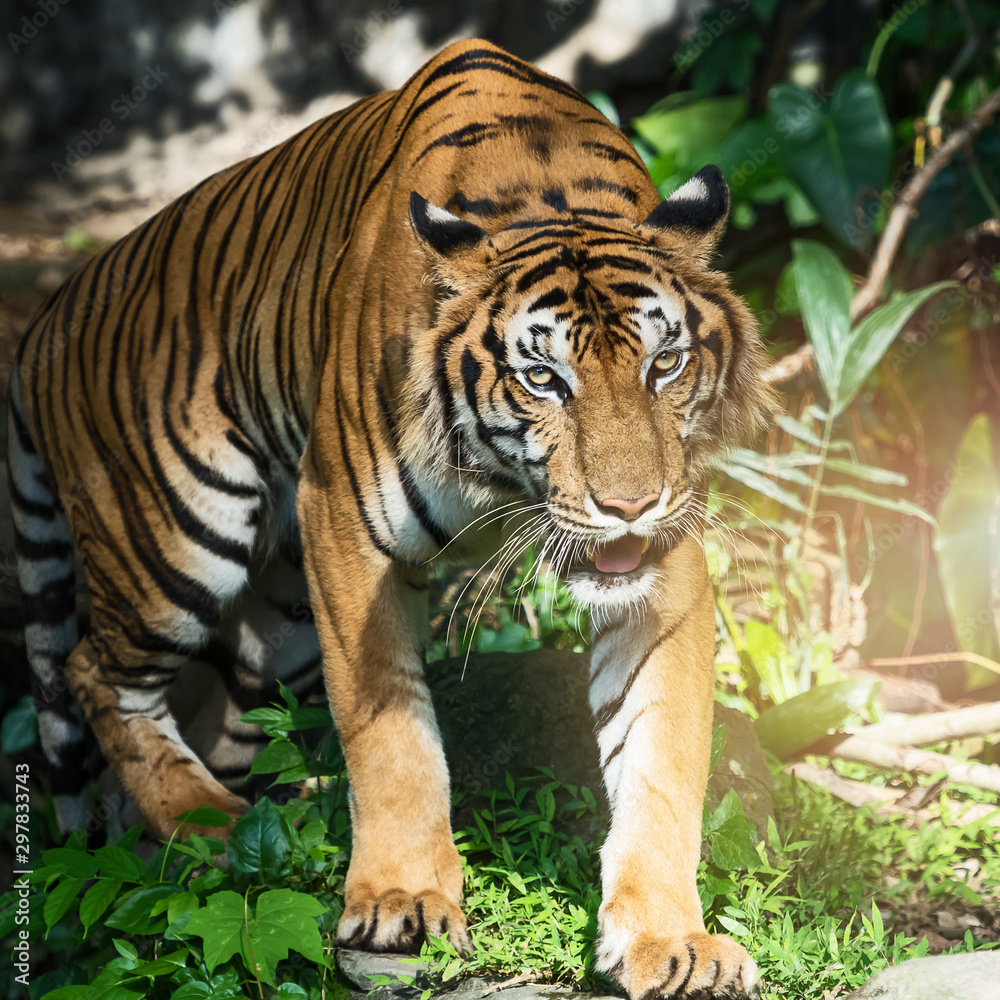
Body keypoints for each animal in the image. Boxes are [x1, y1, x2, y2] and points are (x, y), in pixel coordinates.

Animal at [8, 39, 776, 999]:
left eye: (664, 364)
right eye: (543, 378)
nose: (629, 504)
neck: (504, 489)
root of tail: (45, 317)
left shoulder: (664, 564)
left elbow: (659, 757)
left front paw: (671, 940)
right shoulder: (346, 526)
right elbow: (391, 736)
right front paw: (403, 901)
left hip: (277, 625)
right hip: (174, 534)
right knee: (93, 671)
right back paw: (209, 827)